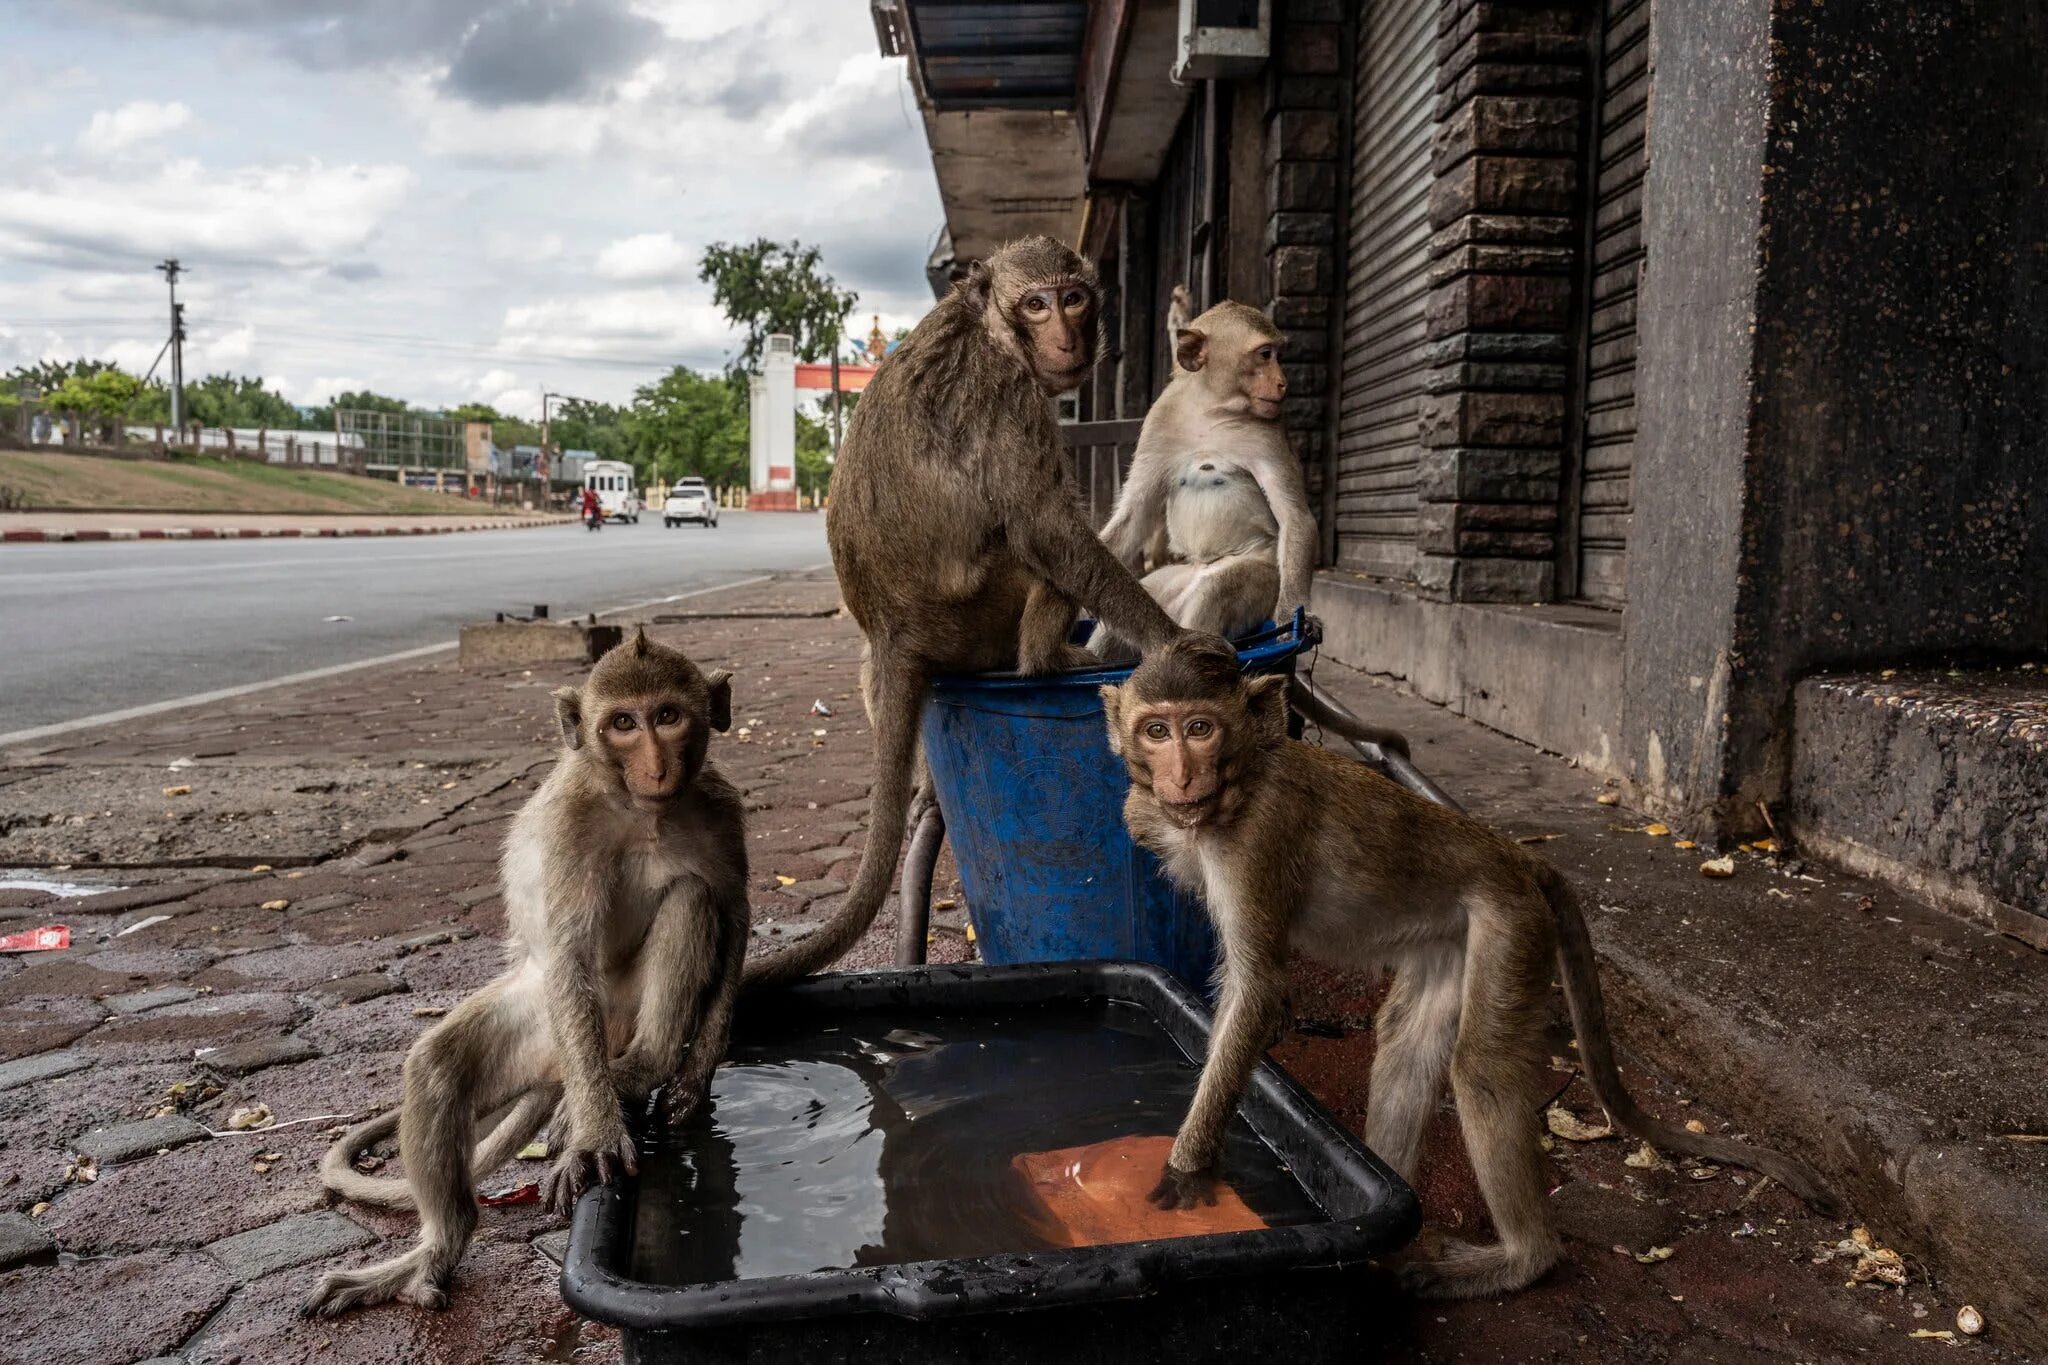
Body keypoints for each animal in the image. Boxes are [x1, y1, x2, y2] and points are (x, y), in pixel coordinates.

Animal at [299, 634, 749, 1317]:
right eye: (623, 724)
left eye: (668, 716)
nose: (655, 764)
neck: (642, 811)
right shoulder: (569, 827)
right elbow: (568, 953)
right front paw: (596, 1135)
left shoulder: (720, 810)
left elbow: (735, 911)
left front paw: (694, 1079)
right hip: (551, 1029)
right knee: (439, 1067)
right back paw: (438, 1248)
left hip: (609, 1021)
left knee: (691, 898)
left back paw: (646, 1062)